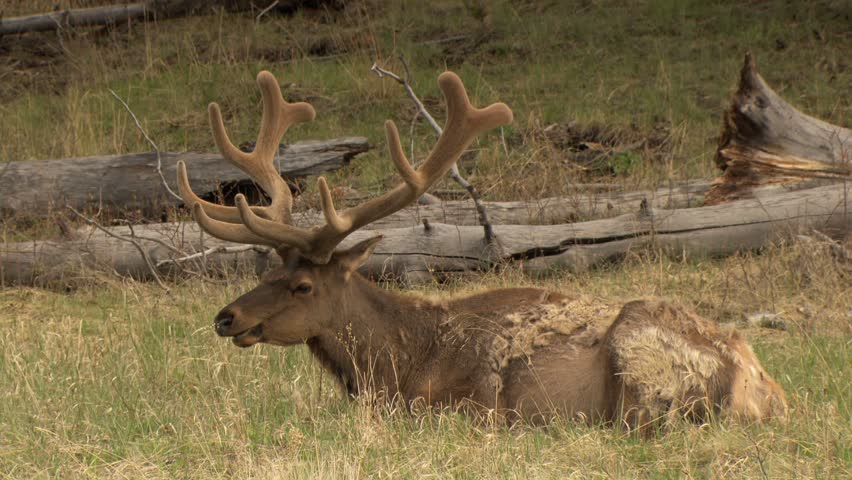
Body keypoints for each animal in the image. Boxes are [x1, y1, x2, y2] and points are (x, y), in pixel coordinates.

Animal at [176, 69, 788, 432]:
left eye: (303, 285)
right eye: (269, 271)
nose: (226, 317)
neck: (396, 366)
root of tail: (764, 386)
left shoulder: (464, 404)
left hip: (640, 370)